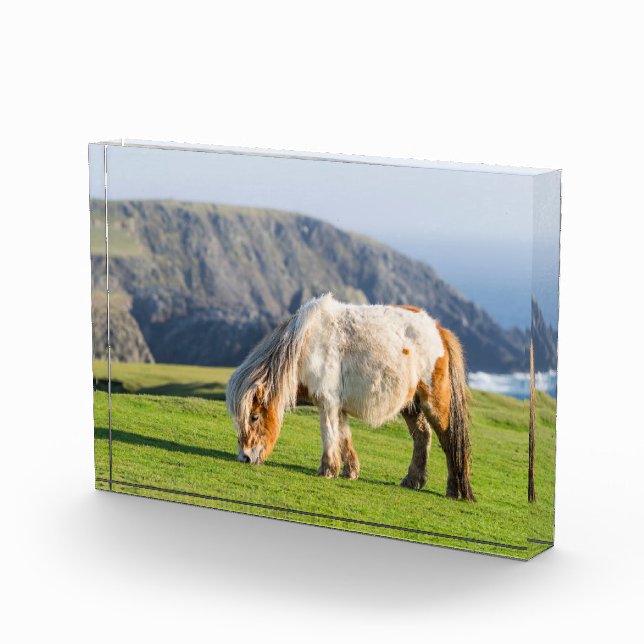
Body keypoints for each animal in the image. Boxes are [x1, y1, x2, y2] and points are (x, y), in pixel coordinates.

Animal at [226, 293, 475, 500]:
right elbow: (344, 436)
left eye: (254, 417)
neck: (306, 345)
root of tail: (439, 330)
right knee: (422, 436)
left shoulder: (327, 402)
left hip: (435, 403)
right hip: (411, 405)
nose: (245, 457)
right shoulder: (338, 406)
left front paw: (327, 470)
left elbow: (329, 433)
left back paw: (454, 490)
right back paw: (413, 480)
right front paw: (350, 471)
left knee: (448, 439)